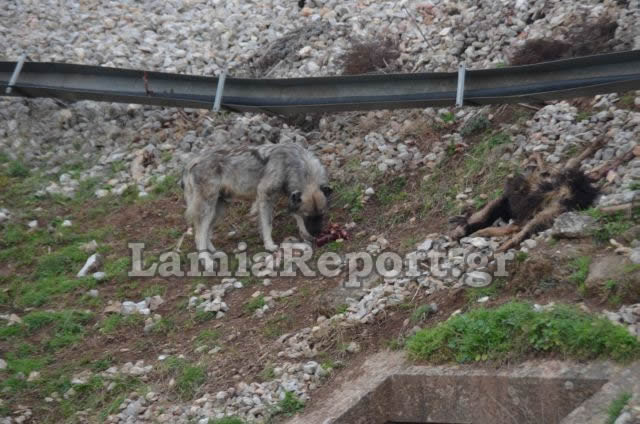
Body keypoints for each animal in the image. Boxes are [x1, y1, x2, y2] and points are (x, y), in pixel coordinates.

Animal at [180, 142, 330, 255]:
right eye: (308, 216)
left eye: (322, 214)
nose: (317, 233)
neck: (291, 164)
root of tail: (193, 161)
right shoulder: (265, 196)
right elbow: (267, 224)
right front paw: (269, 245)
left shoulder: (291, 198)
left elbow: (296, 217)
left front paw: (305, 234)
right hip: (207, 208)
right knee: (199, 235)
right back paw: (207, 261)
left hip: (218, 209)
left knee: (206, 232)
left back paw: (213, 251)